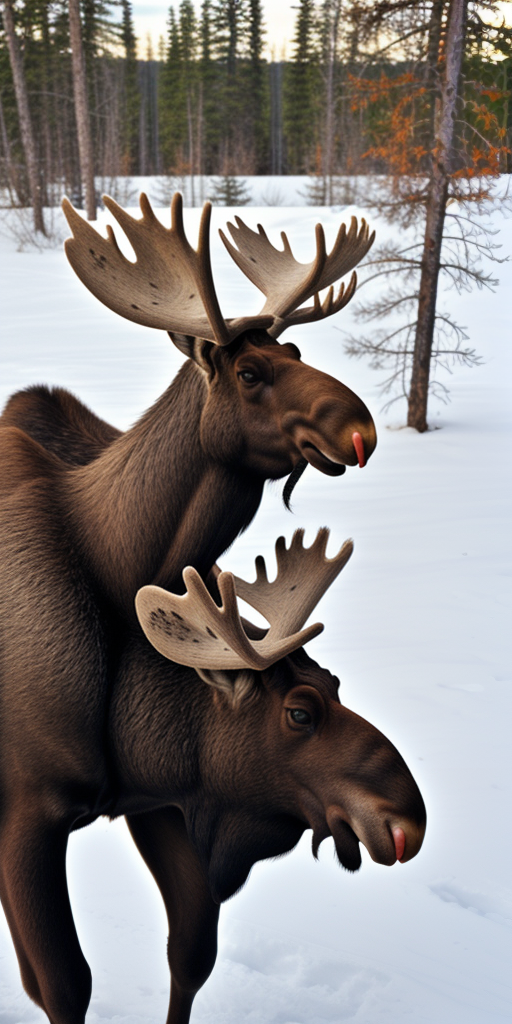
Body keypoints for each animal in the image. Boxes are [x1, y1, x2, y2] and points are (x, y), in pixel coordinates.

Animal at [0, 526, 426, 1024]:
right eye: (300, 713)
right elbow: (63, 985)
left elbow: (192, 957)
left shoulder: (164, 805)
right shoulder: (30, 816)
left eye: (336, 683)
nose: (410, 818)